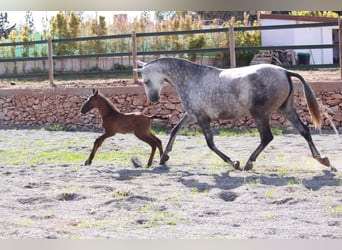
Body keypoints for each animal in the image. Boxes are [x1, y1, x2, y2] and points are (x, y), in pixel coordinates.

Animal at [135, 57, 332, 171]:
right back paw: (322, 159)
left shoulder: (201, 117)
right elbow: (175, 130)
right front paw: (164, 158)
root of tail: (285, 71)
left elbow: (210, 144)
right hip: (286, 109)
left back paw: (248, 163)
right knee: (304, 130)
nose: (153, 99)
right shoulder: (191, 114)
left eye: (145, 81)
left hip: (260, 114)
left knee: (267, 137)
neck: (190, 78)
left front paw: (234, 163)